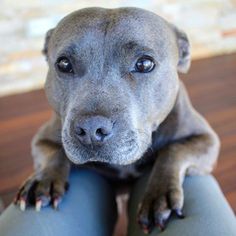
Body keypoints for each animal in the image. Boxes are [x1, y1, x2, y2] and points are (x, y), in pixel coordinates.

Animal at [15, 7, 219, 234]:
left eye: (145, 64)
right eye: (64, 63)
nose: (91, 129)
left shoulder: (207, 139)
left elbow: (174, 149)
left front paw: (159, 194)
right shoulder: (42, 139)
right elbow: (55, 151)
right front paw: (44, 180)